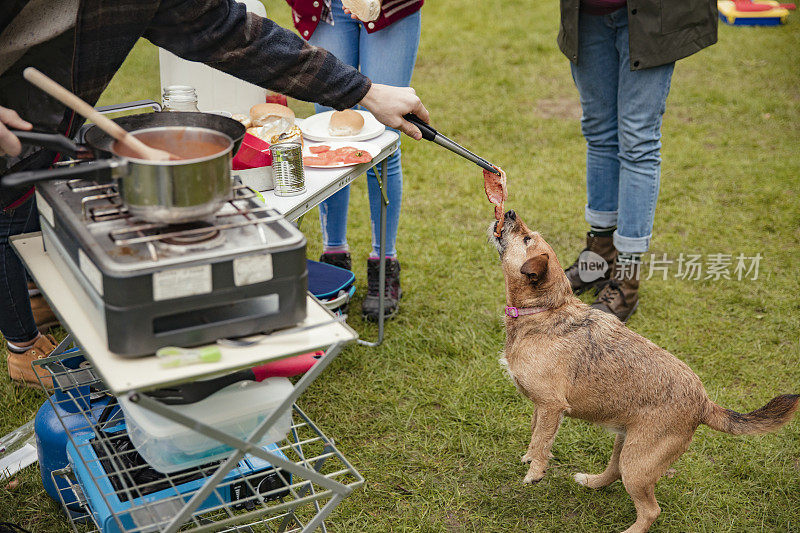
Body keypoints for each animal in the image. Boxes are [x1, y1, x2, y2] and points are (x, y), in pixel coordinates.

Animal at [490, 210, 796, 528]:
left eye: (527, 238)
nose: (509, 212)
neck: (546, 311)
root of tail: (704, 403)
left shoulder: (552, 405)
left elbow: (542, 440)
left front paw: (535, 471)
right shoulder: (541, 406)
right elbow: (536, 431)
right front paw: (529, 457)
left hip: (637, 464)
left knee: (651, 510)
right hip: (625, 445)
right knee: (614, 472)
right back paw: (591, 481)